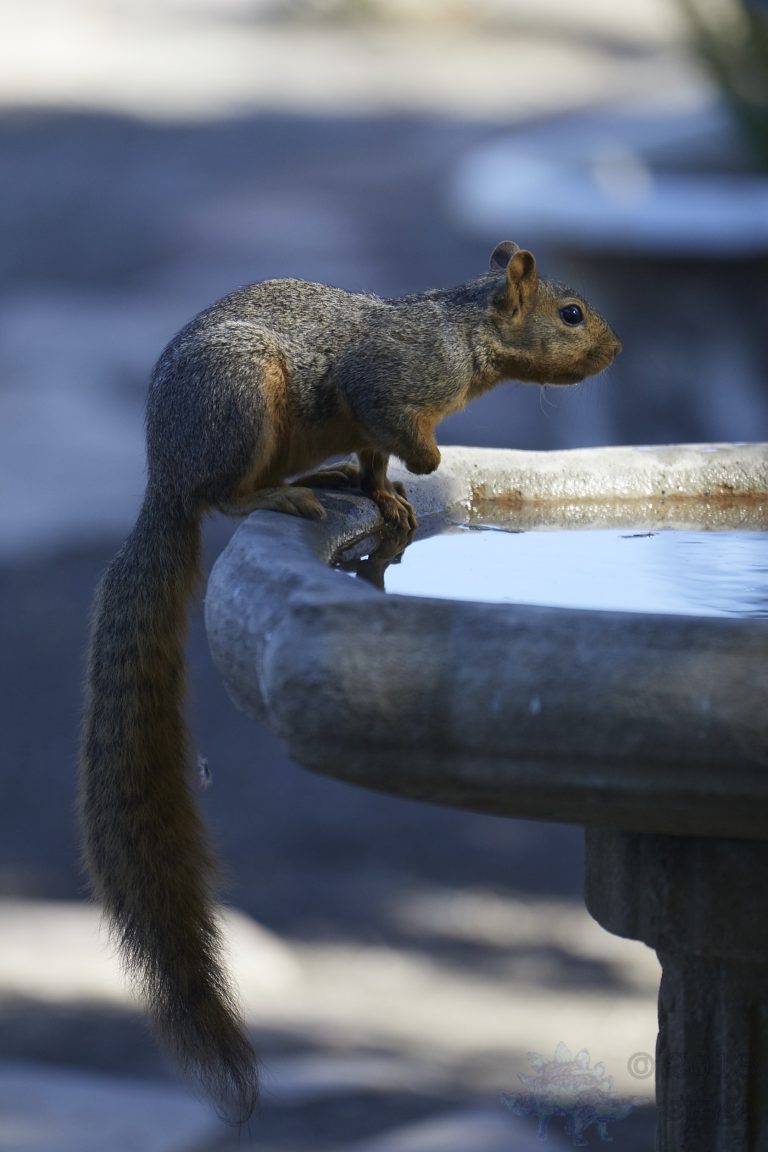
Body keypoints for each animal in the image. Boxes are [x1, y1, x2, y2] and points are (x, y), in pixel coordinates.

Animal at [79, 241, 621, 1120]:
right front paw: (426, 466)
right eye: (571, 314)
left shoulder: (372, 426)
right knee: (221, 495)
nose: (614, 350)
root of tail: (162, 474)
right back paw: (283, 492)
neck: (466, 336)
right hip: (243, 401)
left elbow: (377, 462)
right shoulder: (388, 386)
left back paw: (328, 480)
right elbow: (403, 430)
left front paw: (387, 497)